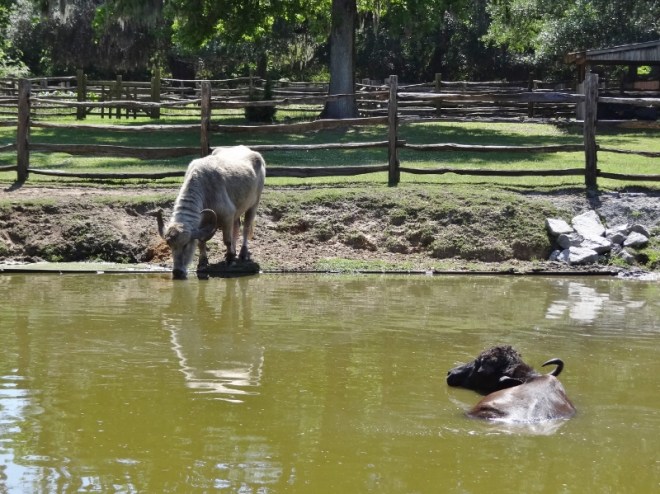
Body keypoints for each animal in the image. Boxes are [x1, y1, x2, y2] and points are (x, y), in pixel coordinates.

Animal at [157, 145, 266, 279]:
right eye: (169, 245)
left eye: (186, 244)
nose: (177, 272)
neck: (205, 192)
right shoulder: (203, 222)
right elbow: (201, 242)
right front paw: (203, 262)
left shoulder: (227, 216)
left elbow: (227, 240)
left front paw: (230, 260)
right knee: (236, 227)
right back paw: (233, 252)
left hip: (254, 203)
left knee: (245, 228)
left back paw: (241, 254)